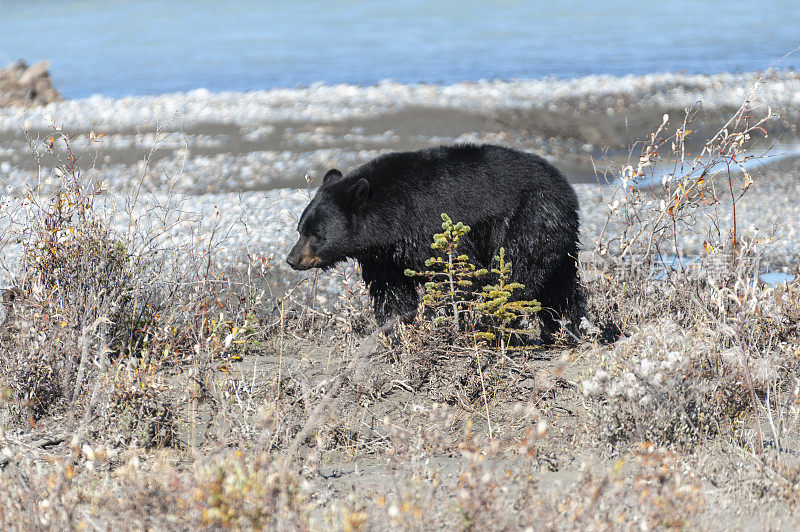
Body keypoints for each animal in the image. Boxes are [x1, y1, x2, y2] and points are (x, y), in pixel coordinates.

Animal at [286, 143, 580, 338]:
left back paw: (498, 322)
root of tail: (566, 188)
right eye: (300, 229)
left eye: (317, 234)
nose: (292, 259)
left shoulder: (429, 230)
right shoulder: (384, 255)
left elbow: (452, 275)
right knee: (561, 287)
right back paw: (566, 328)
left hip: (529, 221)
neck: (390, 218)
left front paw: (439, 321)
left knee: (516, 272)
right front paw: (396, 328)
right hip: (557, 239)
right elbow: (391, 291)